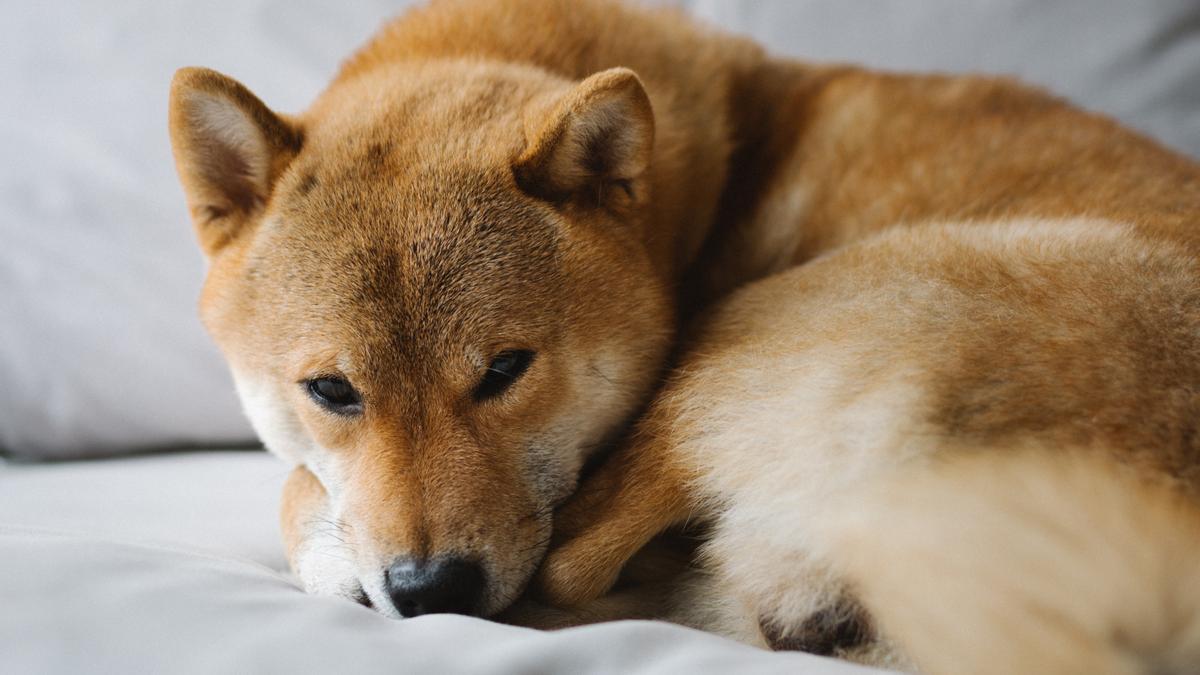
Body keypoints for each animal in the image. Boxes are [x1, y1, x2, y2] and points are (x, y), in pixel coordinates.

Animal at [169, 0, 1200, 667]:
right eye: (332, 390)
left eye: (505, 369)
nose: (432, 593)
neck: (697, 196)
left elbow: (300, 487)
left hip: (747, 336)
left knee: (574, 565)